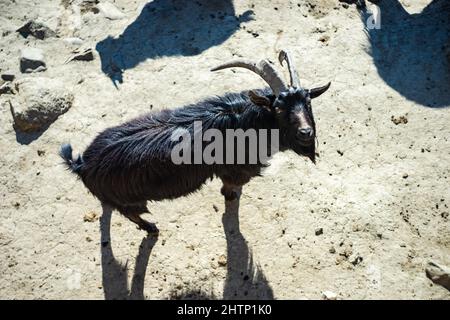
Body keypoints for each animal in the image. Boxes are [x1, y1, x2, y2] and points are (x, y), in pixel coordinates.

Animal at [60, 50, 330, 235]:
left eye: (307, 102)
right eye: (279, 108)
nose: (306, 132)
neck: (245, 122)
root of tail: (82, 164)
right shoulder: (234, 170)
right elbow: (230, 189)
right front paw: (231, 198)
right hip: (128, 200)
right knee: (131, 214)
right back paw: (151, 228)